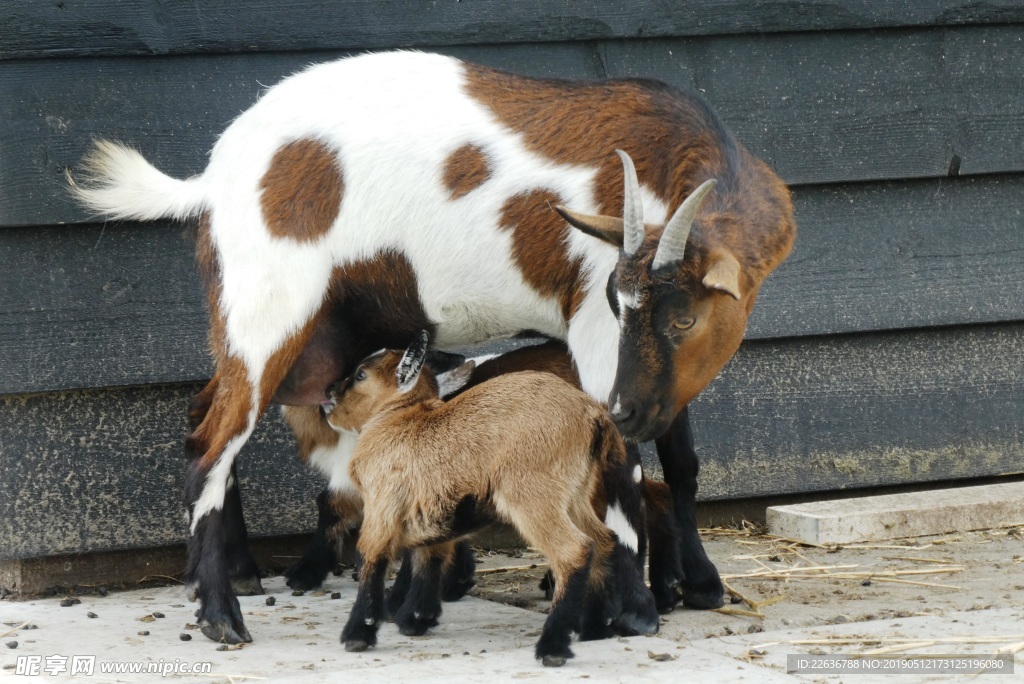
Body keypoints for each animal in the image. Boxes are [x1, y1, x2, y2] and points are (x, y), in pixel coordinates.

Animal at [321, 333, 655, 663]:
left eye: (360, 375)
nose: (329, 392)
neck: (397, 419)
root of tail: (591, 414)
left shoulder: (382, 505)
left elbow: (371, 557)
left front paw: (357, 635)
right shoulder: (432, 510)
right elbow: (428, 557)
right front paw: (416, 619)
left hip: (533, 495)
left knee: (574, 550)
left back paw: (553, 646)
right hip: (574, 493)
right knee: (604, 539)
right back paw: (593, 628)